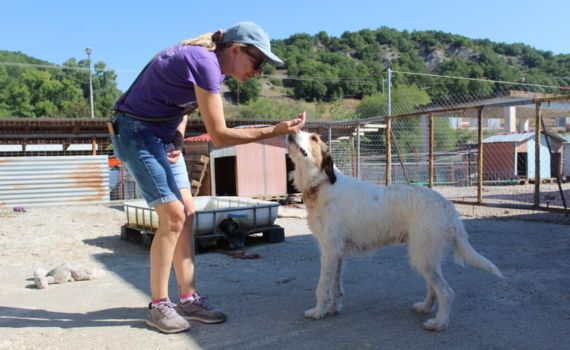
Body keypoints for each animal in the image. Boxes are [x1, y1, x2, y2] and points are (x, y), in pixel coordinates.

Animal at [286, 131, 500, 330]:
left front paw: (318, 312)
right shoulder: (337, 253)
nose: (291, 131)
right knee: (434, 288)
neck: (323, 184)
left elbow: (322, 286)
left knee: (446, 292)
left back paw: (438, 323)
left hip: (422, 257)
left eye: (313, 138)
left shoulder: (329, 252)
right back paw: (425, 307)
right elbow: (335, 285)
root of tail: (448, 207)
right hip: (427, 256)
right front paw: (333, 309)